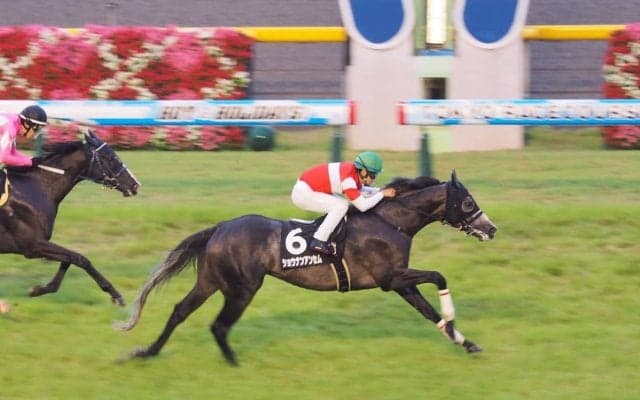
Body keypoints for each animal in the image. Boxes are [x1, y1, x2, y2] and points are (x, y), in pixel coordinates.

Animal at [0, 130, 140, 306]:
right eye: (111, 157)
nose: (135, 185)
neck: (33, 188)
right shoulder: (32, 245)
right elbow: (81, 258)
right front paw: (115, 294)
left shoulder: (37, 246)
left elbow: (69, 259)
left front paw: (40, 289)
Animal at [116, 170, 496, 365]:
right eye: (468, 202)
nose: (491, 229)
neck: (392, 221)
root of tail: (220, 227)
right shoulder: (390, 278)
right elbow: (438, 277)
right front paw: (454, 321)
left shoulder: (400, 283)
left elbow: (428, 311)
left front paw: (465, 341)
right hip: (241, 288)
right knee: (219, 325)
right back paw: (234, 361)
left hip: (211, 281)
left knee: (180, 311)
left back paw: (148, 351)